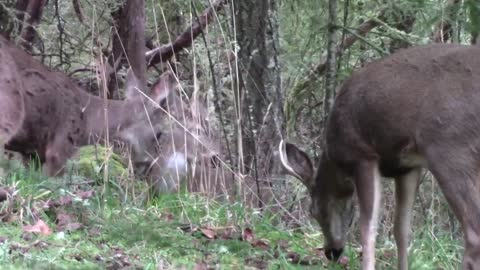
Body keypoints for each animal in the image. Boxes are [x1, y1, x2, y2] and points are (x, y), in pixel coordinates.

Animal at [0, 34, 215, 185]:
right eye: (159, 133)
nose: (147, 166)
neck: (89, 121)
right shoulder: (60, 147)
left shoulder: (33, 154)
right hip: (10, 109)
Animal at [280, 42, 480, 270]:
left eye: (314, 211)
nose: (332, 252)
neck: (336, 160)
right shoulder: (407, 167)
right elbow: (401, 229)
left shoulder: (361, 155)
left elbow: (368, 228)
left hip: (450, 149)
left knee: (473, 232)